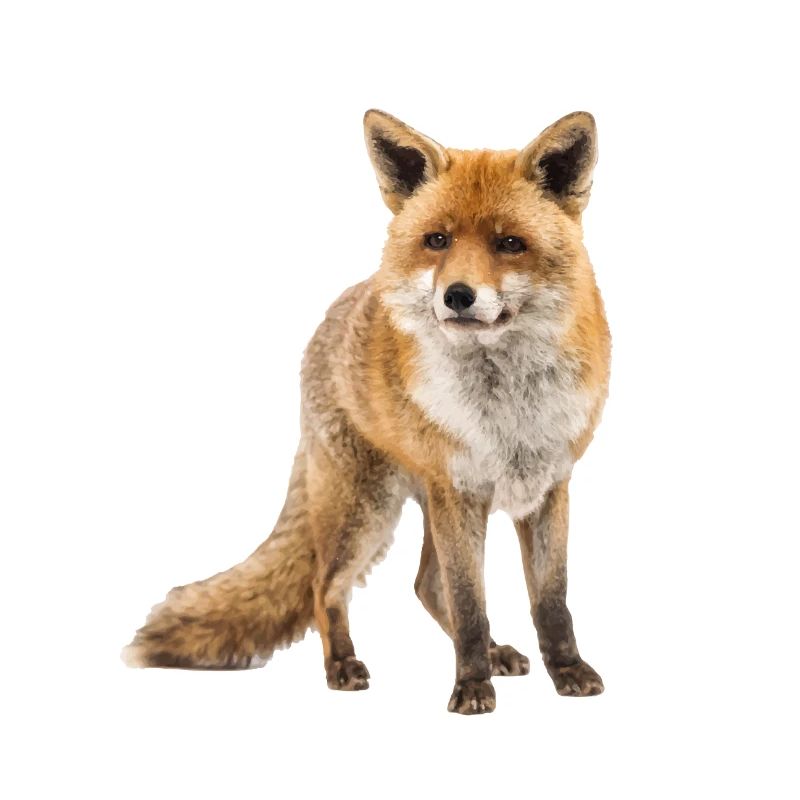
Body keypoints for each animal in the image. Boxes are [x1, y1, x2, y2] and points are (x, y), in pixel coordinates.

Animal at [123, 109, 611, 714]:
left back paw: (496, 652)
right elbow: (470, 603)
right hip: (366, 509)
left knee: (425, 585)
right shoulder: (459, 493)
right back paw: (343, 664)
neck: (507, 411)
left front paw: (566, 671)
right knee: (325, 587)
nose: (457, 295)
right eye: (437, 240)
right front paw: (471, 687)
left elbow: (551, 601)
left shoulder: (547, 488)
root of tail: (343, 304)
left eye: (510, 243)